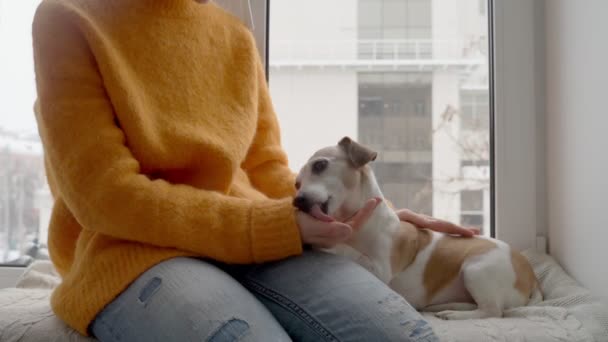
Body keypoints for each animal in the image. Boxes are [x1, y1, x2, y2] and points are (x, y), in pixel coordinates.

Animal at [294, 137, 540, 320]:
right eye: (296, 183)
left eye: (320, 165)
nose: (297, 201)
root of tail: (532, 277)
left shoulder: (379, 270)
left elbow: (349, 254)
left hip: (475, 268)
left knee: (493, 311)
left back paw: (453, 314)